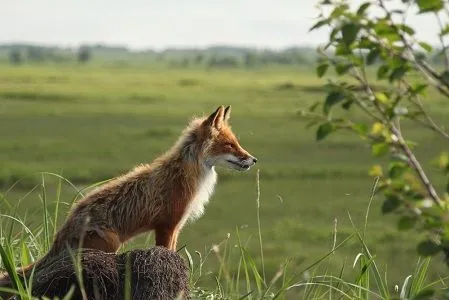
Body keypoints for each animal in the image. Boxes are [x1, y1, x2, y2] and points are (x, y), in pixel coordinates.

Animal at [0, 105, 256, 298]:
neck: (188, 173)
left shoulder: (173, 226)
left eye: (236, 143)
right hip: (110, 243)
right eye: (230, 145)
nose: (253, 159)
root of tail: (60, 235)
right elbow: (168, 251)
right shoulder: (168, 224)